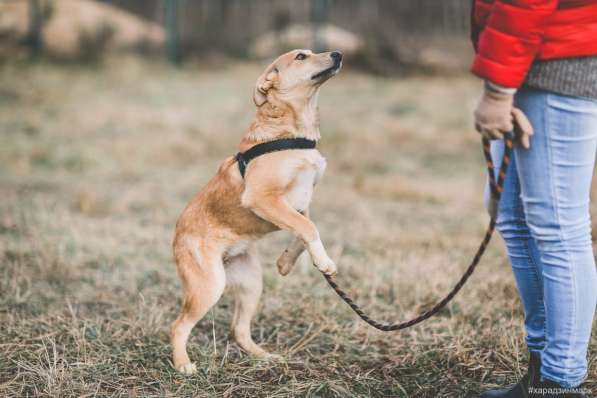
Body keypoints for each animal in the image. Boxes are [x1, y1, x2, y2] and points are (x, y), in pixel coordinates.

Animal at [170, 49, 342, 374]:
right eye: (301, 56)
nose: (338, 54)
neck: (294, 131)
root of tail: (175, 239)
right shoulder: (262, 198)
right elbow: (308, 228)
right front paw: (324, 262)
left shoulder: (302, 204)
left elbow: (303, 231)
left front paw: (286, 263)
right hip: (209, 286)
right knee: (178, 326)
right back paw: (183, 364)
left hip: (251, 283)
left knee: (238, 329)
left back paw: (264, 357)